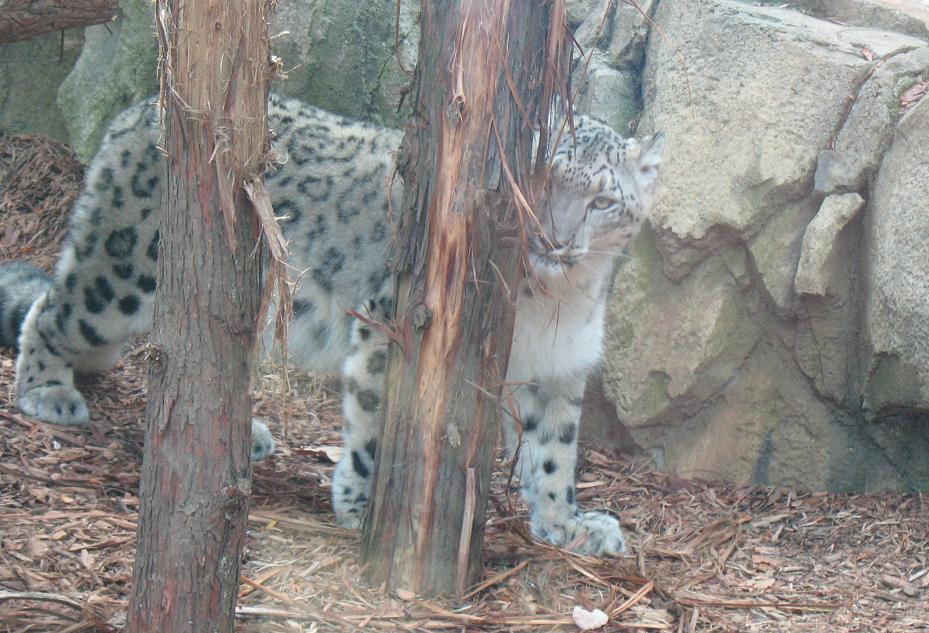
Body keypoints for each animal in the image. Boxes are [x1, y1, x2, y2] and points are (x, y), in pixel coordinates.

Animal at [0, 92, 665, 556]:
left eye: (602, 201)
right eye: (541, 181)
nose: (553, 240)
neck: (558, 301)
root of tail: (140, 109)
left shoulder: (558, 370)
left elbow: (555, 454)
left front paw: (568, 523)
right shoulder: (386, 322)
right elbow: (373, 422)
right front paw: (359, 501)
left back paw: (242, 433)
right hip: (125, 270)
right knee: (53, 310)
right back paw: (48, 391)